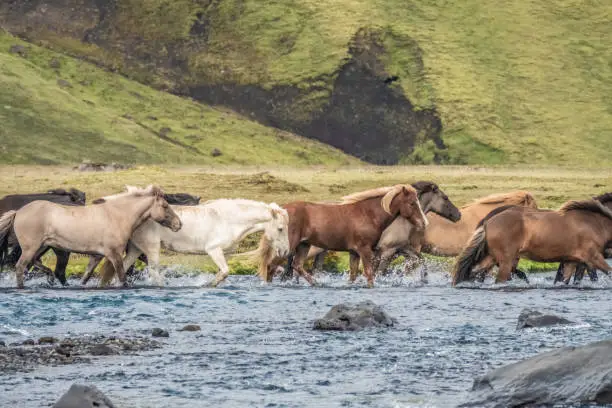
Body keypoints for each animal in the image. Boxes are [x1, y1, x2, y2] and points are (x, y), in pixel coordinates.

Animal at [93, 194, 290, 286]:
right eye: (281, 229)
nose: (286, 251)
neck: (230, 219)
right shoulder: (213, 250)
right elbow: (225, 272)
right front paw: (208, 284)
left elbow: (224, 274)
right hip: (151, 248)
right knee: (154, 272)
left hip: (135, 249)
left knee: (121, 270)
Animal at [256, 185, 426, 286]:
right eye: (412, 203)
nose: (423, 223)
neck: (368, 214)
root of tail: (282, 211)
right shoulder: (365, 250)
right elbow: (369, 273)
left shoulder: (354, 252)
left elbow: (353, 275)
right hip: (290, 246)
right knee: (272, 266)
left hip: (304, 245)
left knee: (296, 265)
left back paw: (316, 283)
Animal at [306, 182, 460, 280]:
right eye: (445, 198)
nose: (458, 215)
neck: (399, 220)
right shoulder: (386, 252)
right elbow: (379, 272)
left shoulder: (402, 249)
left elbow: (420, 261)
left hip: (322, 251)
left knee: (315, 270)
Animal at [452, 198, 612, 284]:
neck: (596, 224)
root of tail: (488, 222)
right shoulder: (593, 257)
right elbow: (609, 272)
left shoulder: (571, 261)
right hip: (506, 261)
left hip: (492, 258)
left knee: (475, 271)